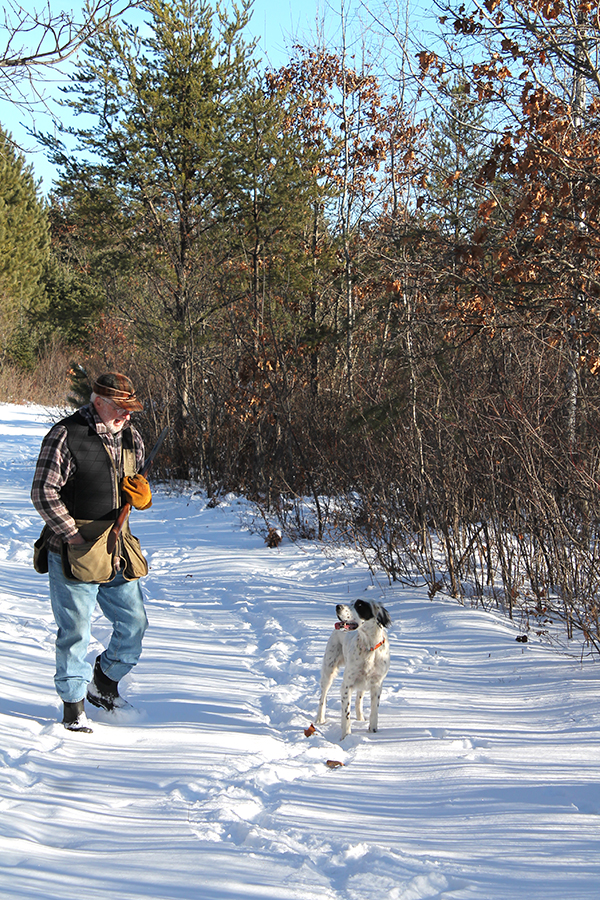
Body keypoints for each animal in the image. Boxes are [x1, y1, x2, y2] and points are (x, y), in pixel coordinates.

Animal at [316, 596, 392, 740]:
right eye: (351, 602)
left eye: (359, 605)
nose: (338, 606)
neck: (369, 648)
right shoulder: (347, 685)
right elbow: (346, 715)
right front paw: (346, 736)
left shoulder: (377, 684)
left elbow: (374, 712)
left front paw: (373, 732)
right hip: (329, 670)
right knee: (323, 696)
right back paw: (319, 719)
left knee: (359, 699)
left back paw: (360, 718)